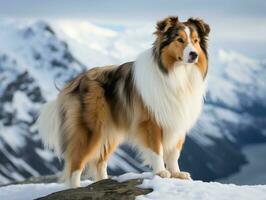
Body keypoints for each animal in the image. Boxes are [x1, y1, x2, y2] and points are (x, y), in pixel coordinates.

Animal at [37, 16, 210, 188]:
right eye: (180, 40)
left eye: (195, 40)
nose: (194, 55)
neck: (176, 73)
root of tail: (74, 82)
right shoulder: (151, 122)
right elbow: (157, 149)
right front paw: (161, 172)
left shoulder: (178, 121)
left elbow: (174, 152)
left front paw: (177, 174)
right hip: (90, 130)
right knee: (76, 162)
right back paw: (76, 187)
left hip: (109, 132)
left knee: (100, 162)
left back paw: (103, 181)